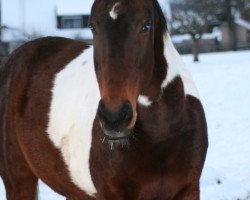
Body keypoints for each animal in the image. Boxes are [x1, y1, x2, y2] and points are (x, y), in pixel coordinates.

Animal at [0, 0, 207, 200]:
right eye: (92, 27)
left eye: (146, 25)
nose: (114, 118)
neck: (161, 131)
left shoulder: (189, 190)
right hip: (19, 181)